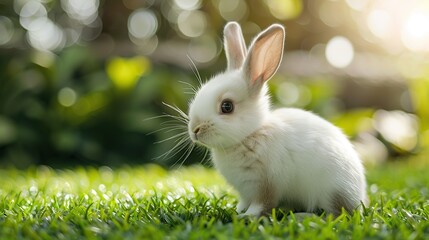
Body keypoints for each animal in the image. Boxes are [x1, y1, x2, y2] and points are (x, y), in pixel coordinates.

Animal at [187, 22, 368, 218]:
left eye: (227, 106)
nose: (195, 129)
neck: (250, 135)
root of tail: (358, 195)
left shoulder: (265, 184)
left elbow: (262, 205)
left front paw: (247, 216)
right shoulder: (246, 192)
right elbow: (244, 202)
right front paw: (238, 211)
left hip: (332, 191)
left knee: (336, 214)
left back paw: (303, 216)